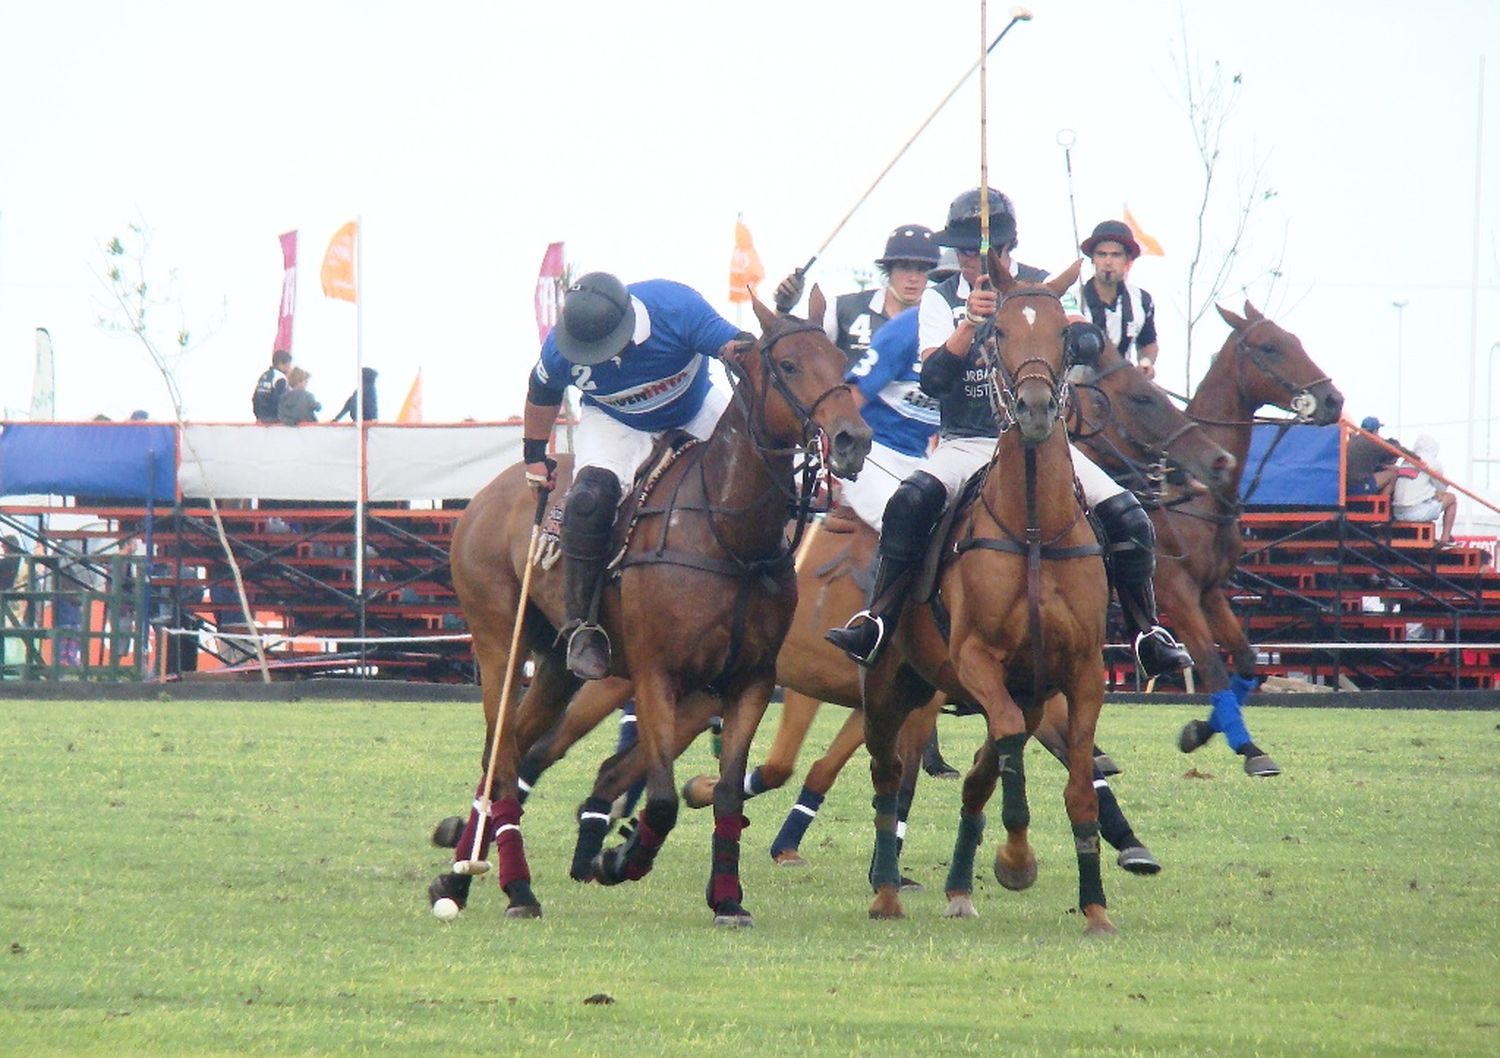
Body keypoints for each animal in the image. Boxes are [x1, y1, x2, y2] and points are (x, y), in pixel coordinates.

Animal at [426, 288, 870, 924]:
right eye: (788, 366)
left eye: (841, 361)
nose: (854, 439)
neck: (728, 534)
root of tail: (487, 494)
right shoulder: (658, 673)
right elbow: (660, 800)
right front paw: (619, 860)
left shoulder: (751, 680)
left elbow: (728, 794)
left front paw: (727, 899)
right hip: (496, 644)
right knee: (506, 761)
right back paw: (517, 888)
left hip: (558, 664)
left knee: (506, 751)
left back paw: (459, 878)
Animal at [864, 259, 1122, 930]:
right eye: (996, 332)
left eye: (1065, 332)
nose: (1033, 410)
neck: (1032, 528)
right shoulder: (974, 657)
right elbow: (1004, 748)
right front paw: (1017, 859)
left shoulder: (1080, 673)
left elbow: (1078, 781)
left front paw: (1095, 907)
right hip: (890, 686)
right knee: (889, 774)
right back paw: (885, 891)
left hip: (1018, 694)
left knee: (977, 776)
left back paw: (958, 887)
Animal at [1146, 301, 1350, 774]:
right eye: (1270, 347)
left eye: (1296, 340)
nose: (1333, 400)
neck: (1199, 493)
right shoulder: (1176, 592)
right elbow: (1212, 664)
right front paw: (1249, 750)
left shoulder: (1210, 591)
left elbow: (1246, 659)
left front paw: (1200, 733)